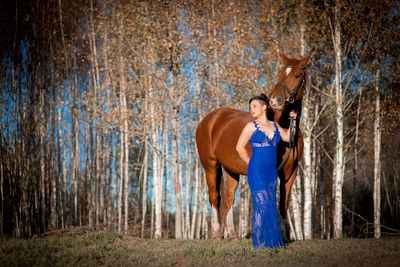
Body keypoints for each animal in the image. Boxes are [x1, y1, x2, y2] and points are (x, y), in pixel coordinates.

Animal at [195, 50, 310, 241]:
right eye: (280, 73)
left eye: (297, 75)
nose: (275, 100)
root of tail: (210, 119)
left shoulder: (290, 172)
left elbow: (283, 203)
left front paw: (283, 235)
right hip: (210, 165)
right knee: (214, 197)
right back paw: (217, 233)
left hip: (230, 169)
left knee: (228, 198)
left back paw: (232, 234)